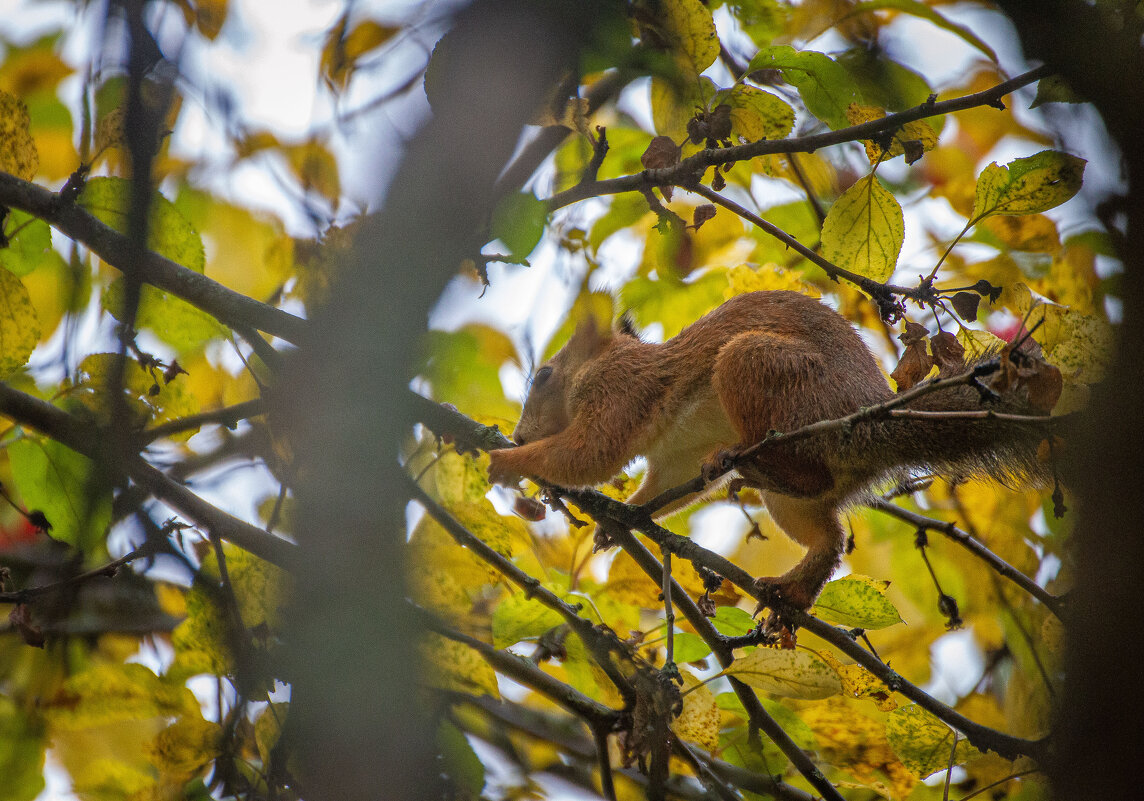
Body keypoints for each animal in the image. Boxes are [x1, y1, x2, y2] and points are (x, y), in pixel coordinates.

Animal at [487, 290, 1057, 608]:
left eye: (543, 375)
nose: (519, 435)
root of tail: (871, 423)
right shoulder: (672, 457)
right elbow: (664, 487)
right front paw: (619, 519)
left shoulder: (621, 391)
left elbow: (588, 454)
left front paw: (505, 461)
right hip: (795, 504)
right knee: (828, 533)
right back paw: (794, 588)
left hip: (758, 366)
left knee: (806, 478)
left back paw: (745, 461)